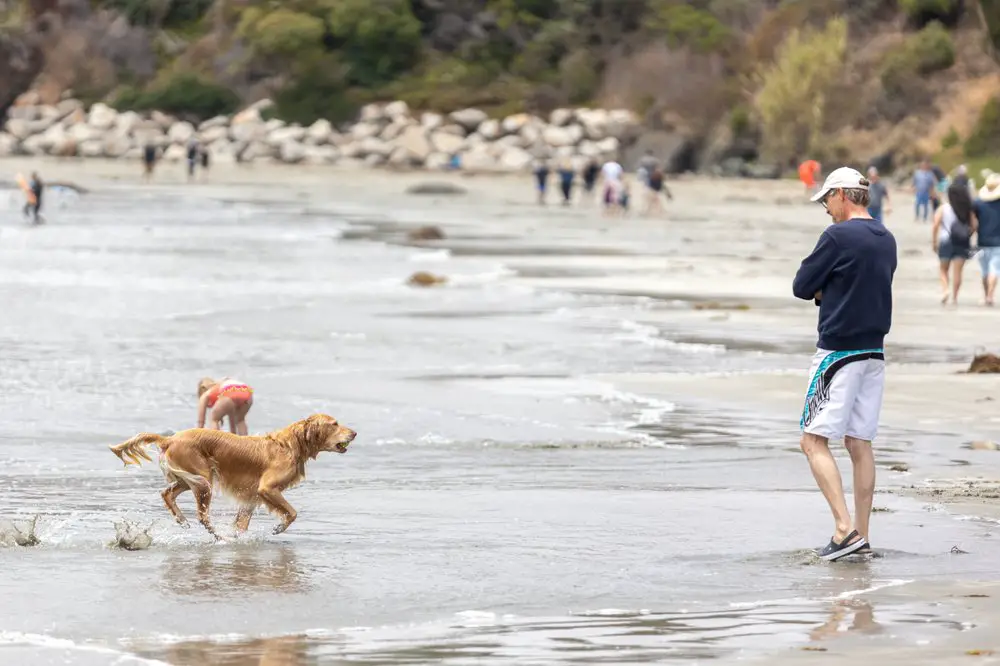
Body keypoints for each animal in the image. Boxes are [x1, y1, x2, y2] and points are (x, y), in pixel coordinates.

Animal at [109, 412, 358, 536]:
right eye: (334, 423)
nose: (355, 433)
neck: (291, 445)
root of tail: (170, 438)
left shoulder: (252, 497)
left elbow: (242, 523)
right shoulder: (266, 488)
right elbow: (293, 513)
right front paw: (278, 528)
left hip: (191, 479)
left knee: (167, 494)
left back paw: (182, 520)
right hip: (203, 479)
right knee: (202, 515)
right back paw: (218, 536)